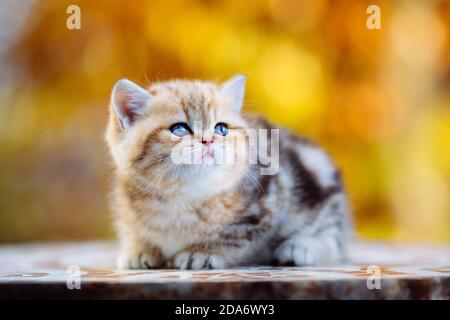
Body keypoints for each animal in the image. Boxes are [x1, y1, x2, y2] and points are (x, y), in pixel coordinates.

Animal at [105, 75, 352, 270]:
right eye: (179, 129)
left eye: (221, 128)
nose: (208, 140)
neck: (180, 195)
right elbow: (133, 227)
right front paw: (139, 249)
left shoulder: (267, 200)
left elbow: (234, 234)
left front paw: (202, 252)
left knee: (333, 234)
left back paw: (302, 246)